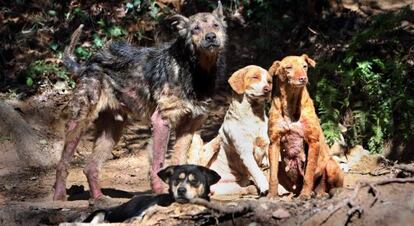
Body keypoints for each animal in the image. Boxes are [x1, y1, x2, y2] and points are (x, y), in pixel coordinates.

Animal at [53, 1, 228, 205]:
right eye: (195, 29)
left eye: (215, 25)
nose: (211, 37)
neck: (195, 72)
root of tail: (87, 65)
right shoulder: (161, 121)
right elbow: (158, 162)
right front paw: (160, 191)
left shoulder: (189, 127)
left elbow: (180, 161)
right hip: (79, 123)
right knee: (63, 164)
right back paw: (59, 196)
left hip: (112, 132)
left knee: (90, 167)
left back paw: (99, 199)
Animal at [189, 65, 274, 196]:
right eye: (255, 77)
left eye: (269, 81)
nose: (268, 89)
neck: (253, 116)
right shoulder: (246, 152)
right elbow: (256, 170)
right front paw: (264, 185)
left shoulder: (267, 144)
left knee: (246, 187)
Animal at [266, 54, 344, 198]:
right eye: (288, 67)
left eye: (305, 66)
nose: (303, 78)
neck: (290, 104)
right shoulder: (274, 142)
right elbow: (272, 177)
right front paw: (271, 195)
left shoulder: (313, 141)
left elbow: (308, 174)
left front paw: (305, 195)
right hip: (281, 167)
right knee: (294, 187)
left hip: (330, 165)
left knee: (330, 186)